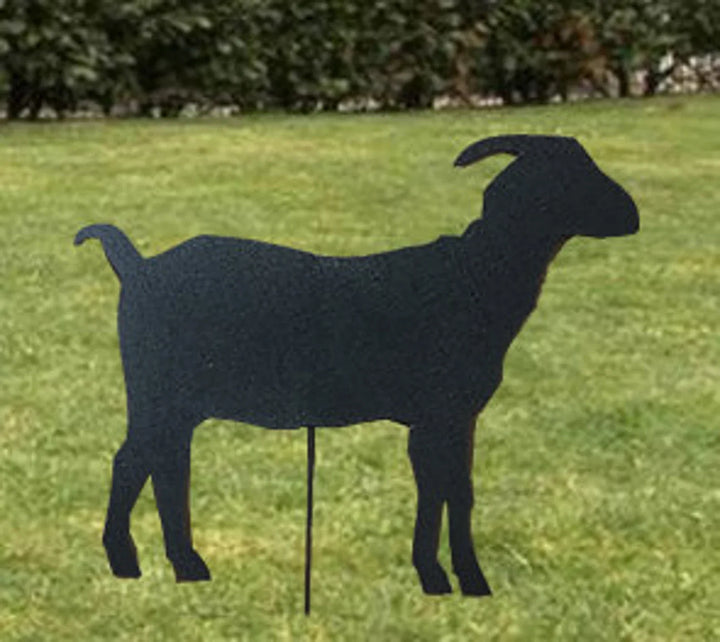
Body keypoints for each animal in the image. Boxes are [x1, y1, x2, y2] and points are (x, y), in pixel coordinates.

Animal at [75, 134, 638, 596]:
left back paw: (182, 564)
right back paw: (136, 562)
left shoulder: (454, 418)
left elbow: (453, 490)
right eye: (573, 175)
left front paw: (449, 576)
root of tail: (137, 266)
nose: (632, 215)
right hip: (157, 394)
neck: (476, 274)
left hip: (175, 405)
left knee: (164, 466)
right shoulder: (438, 415)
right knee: (135, 462)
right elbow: (445, 489)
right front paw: (451, 577)